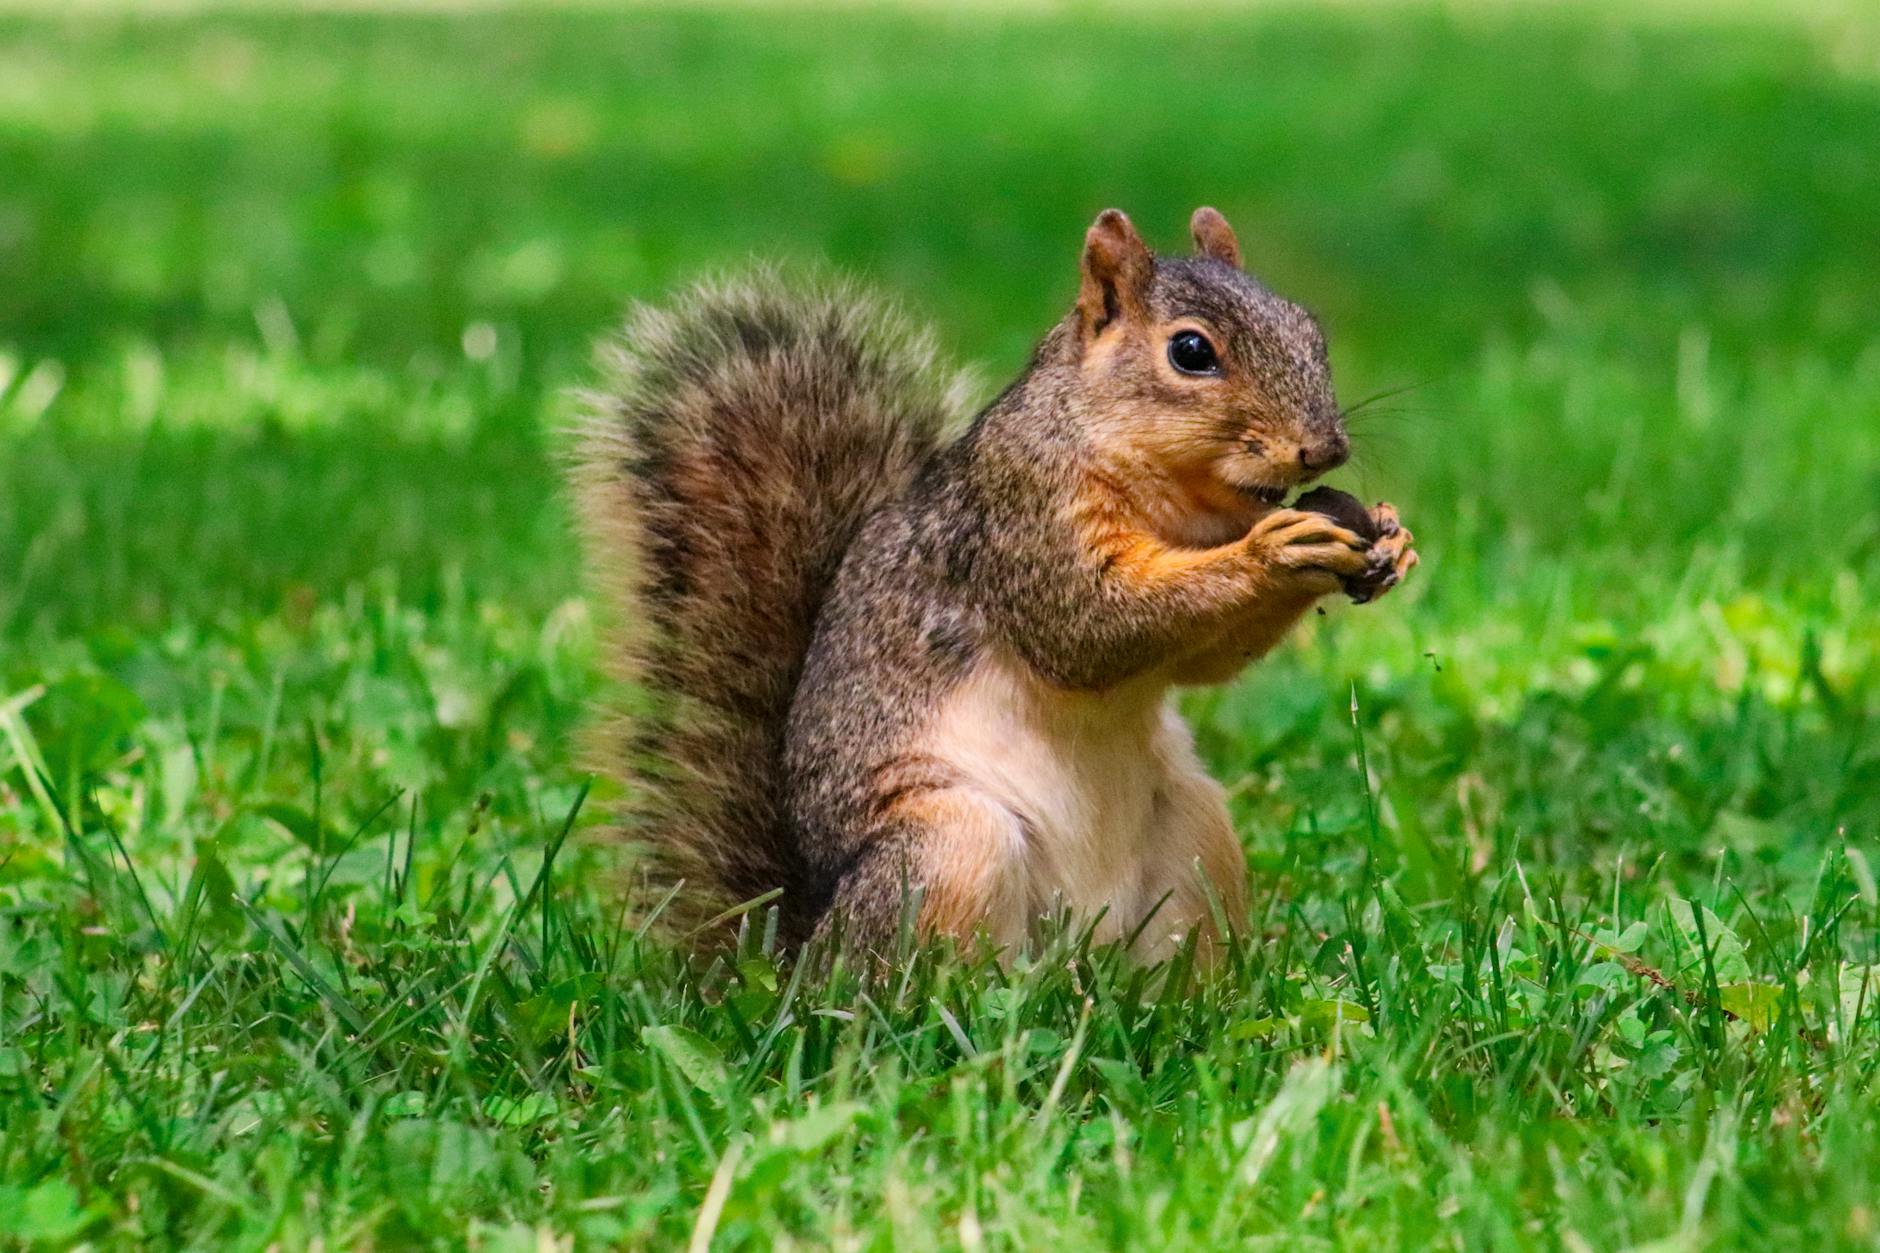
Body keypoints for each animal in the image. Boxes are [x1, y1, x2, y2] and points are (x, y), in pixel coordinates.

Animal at [571, 209, 1413, 959]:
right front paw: (1275, 550)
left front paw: (1389, 538)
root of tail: (800, 954)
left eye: (1310, 329)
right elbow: (1089, 626)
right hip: (949, 849)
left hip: (1199, 837)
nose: (1324, 448)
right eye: (1191, 352)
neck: (1186, 504)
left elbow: (1202, 660)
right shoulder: (1021, 522)